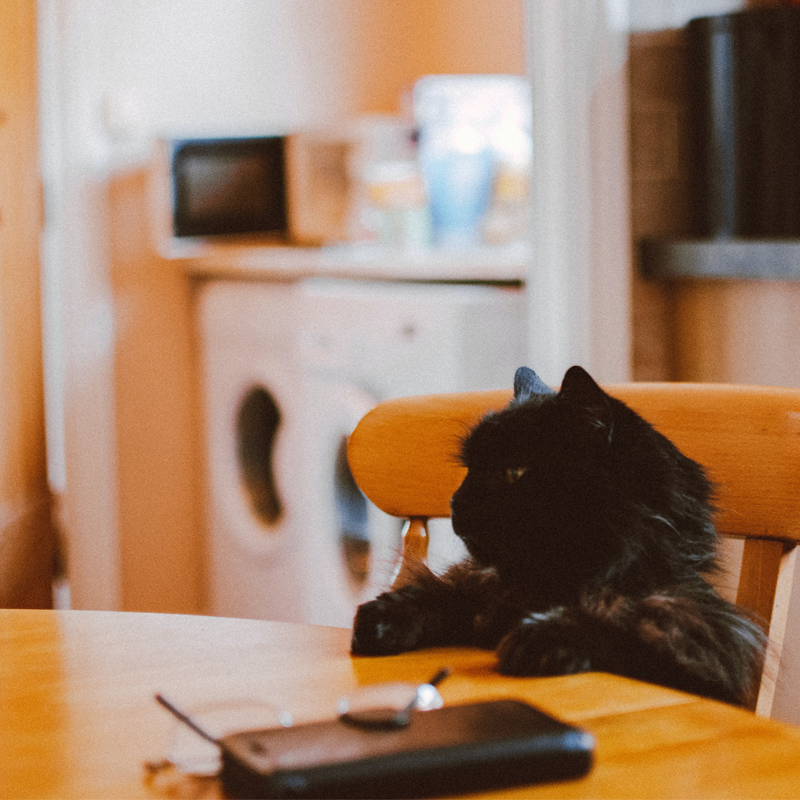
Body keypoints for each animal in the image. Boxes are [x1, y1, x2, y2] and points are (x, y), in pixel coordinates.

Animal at [354, 366, 764, 704]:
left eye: (515, 472)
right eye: (470, 469)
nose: (456, 503)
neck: (552, 585)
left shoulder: (698, 643)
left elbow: (622, 629)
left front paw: (542, 636)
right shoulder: (480, 595)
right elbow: (436, 597)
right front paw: (380, 619)